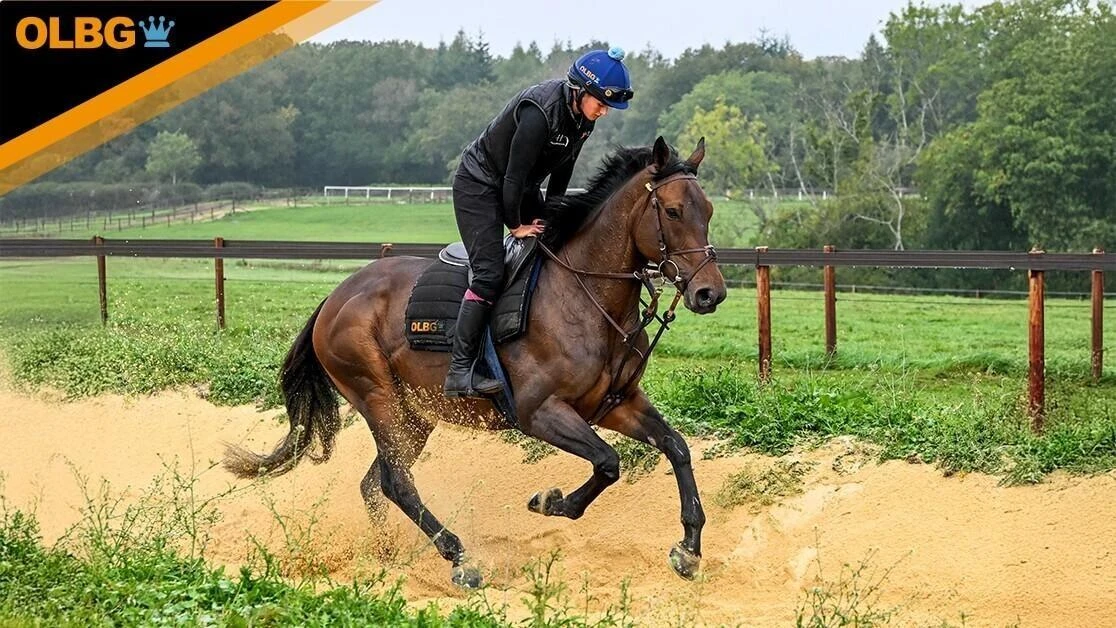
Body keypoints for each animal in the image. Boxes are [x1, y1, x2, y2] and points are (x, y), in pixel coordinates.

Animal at [223, 136, 727, 588]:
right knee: (396, 483)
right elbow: (607, 461)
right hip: (379, 400)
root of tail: (334, 298)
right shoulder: (539, 412)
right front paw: (550, 501)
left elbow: (676, 447)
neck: (585, 298)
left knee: (375, 484)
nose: (711, 294)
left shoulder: (617, 403)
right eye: (674, 211)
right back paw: (460, 558)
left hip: (415, 415)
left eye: (708, 212)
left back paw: (386, 559)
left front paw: (688, 550)